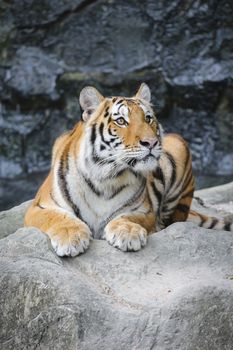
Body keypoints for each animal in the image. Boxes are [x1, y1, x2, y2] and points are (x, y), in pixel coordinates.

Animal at [24, 83, 233, 256]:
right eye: (121, 121)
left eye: (148, 118)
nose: (152, 143)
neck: (106, 177)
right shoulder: (38, 207)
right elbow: (56, 217)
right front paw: (70, 236)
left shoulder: (144, 211)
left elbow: (129, 218)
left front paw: (128, 233)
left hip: (179, 148)